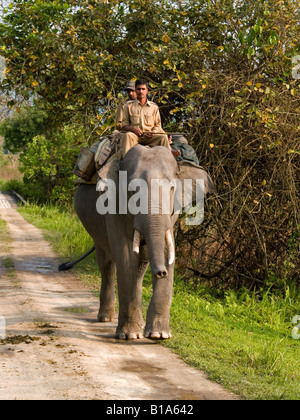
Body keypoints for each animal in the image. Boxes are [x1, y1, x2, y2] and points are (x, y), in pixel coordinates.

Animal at [74, 144, 212, 338]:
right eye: (133, 190)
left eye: (172, 188)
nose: (161, 272)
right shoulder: (113, 207)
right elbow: (125, 256)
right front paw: (130, 335)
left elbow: (165, 250)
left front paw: (159, 335)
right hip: (94, 227)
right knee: (107, 263)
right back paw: (106, 318)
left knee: (139, 267)